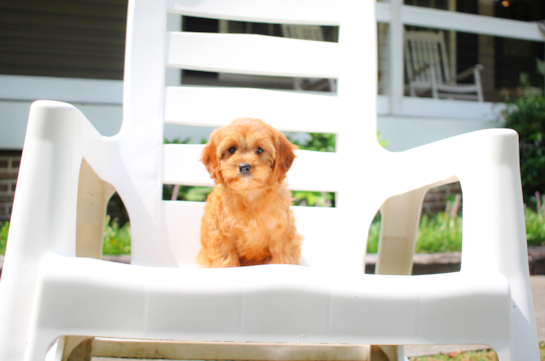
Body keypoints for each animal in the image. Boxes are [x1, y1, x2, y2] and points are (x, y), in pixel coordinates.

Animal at [198, 118, 304, 268]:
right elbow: (225, 261)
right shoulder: (221, 235)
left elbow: (283, 259)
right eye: (231, 149)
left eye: (259, 150)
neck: (250, 195)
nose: (244, 166)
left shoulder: (282, 234)